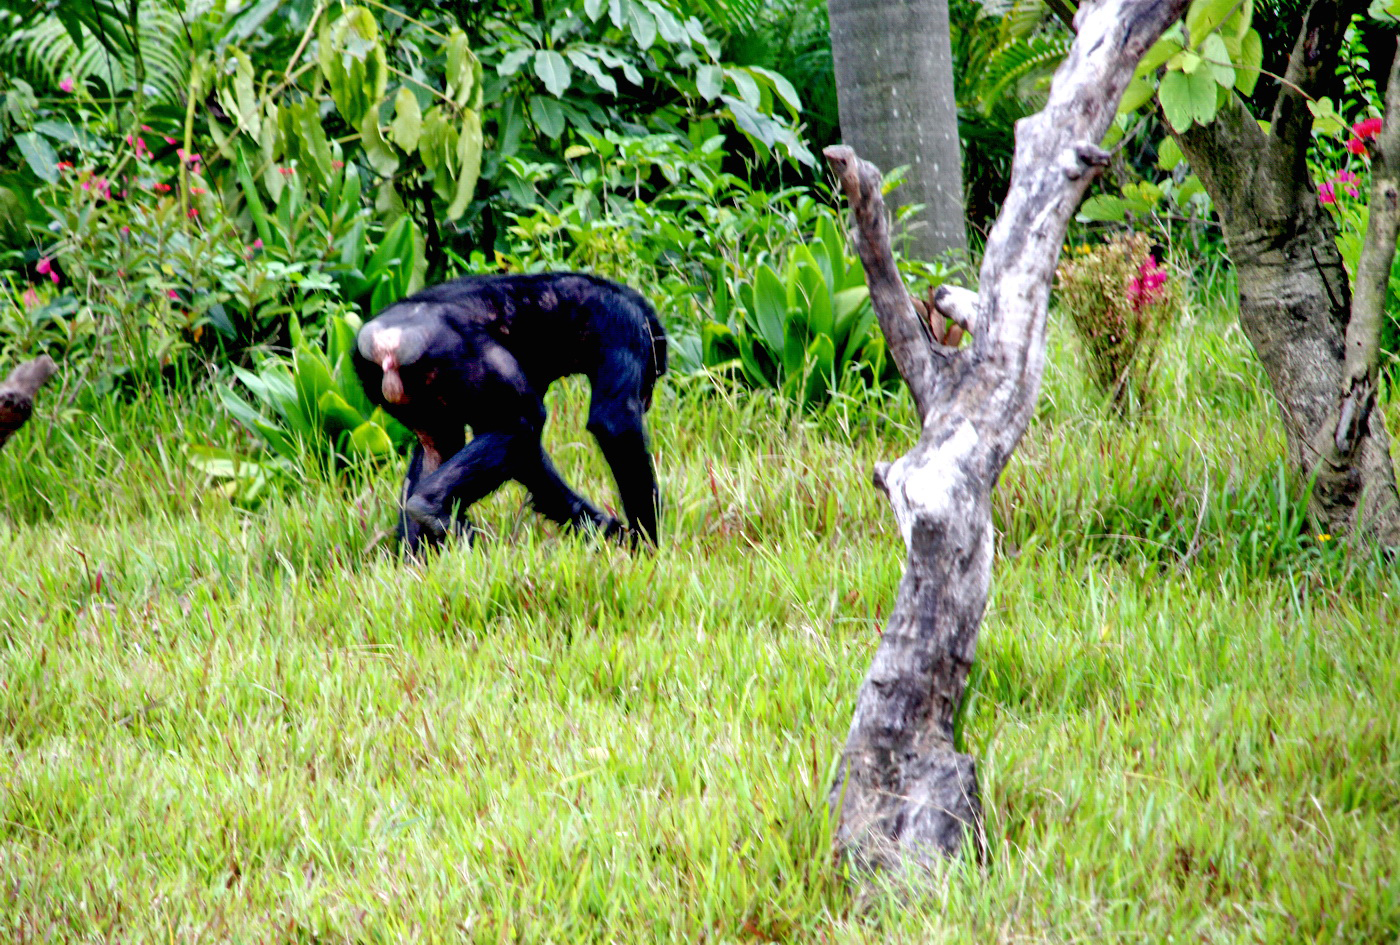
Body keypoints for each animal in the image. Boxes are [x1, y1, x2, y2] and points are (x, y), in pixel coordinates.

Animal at [358, 271, 669, 554]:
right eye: (653, 373)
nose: (648, 397)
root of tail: (387, 342)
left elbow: (528, 461)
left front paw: (599, 527)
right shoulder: (627, 327)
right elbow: (615, 424)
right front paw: (647, 543)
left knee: (440, 445)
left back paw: (414, 556)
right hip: (456, 354)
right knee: (522, 422)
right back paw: (431, 508)